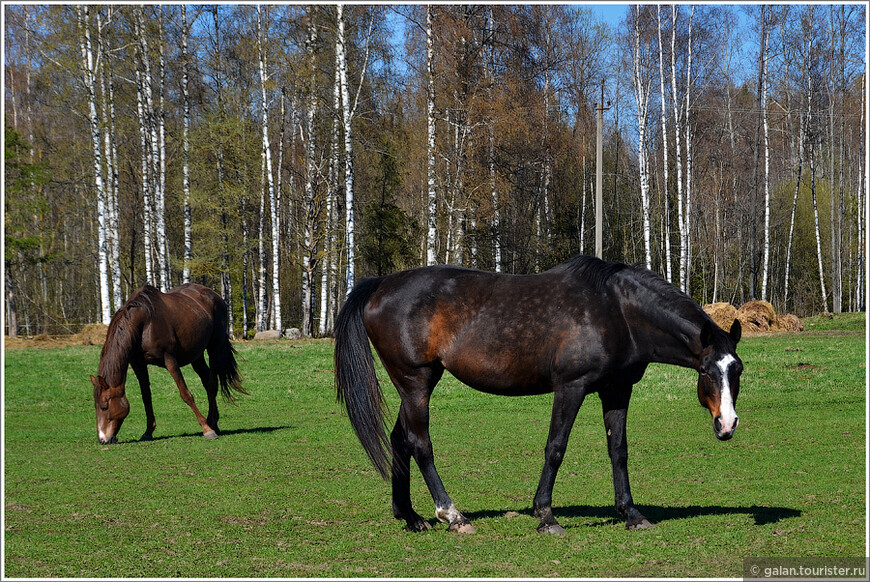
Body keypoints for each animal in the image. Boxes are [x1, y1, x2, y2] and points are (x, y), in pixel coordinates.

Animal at [91, 286, 245, 444]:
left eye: (104, 406)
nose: (103, 439)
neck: (144, 323)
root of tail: (215, 295)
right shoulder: (138, 364)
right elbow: (146, 397)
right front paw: (148, 431)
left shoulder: (170, 360)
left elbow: (186, 394)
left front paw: (206, 429)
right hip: (196, 356)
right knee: (207, 381)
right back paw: (214, 422)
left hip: (215, 347)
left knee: (212, 383)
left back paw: (211, 424)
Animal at [334, 258, 744, 536]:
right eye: (706, 372)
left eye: (737, 370)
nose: (727, 424)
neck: (616, 310)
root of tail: (381, 283)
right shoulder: (571, 387)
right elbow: (556, 448)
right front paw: (546, 516)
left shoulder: (616, 389)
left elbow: (619, 450)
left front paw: (631, 513)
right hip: (415, 382)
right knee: (420, 444)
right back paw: (452, 515)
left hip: (417, 384)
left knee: (399, 440)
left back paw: (410, 516)